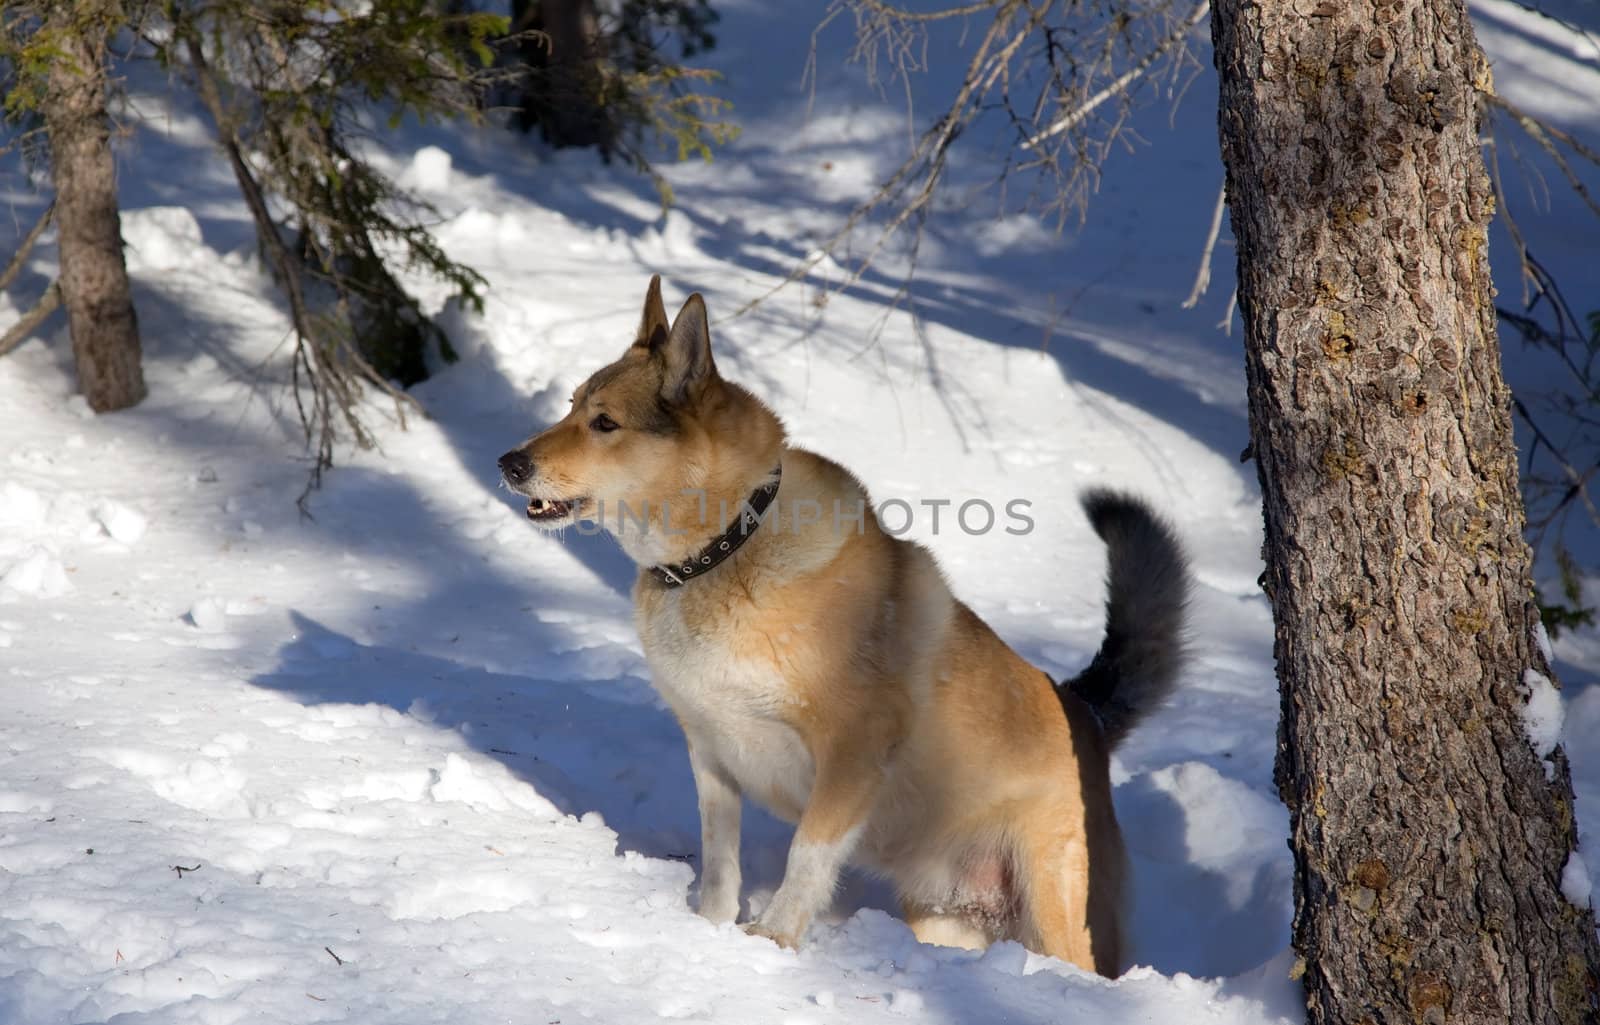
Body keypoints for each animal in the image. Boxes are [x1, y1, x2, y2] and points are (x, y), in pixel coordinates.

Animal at [499, 273, 1190, 972]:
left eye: (604, 422)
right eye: (570, 405)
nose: (508, 463)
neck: (726, 548)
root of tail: (1087, 712)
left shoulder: (853, 750)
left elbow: (807, 855)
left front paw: (772, 941)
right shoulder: (711, 753)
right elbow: (720, 860)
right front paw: (710, 930)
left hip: (1057, 915)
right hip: (945, 919)